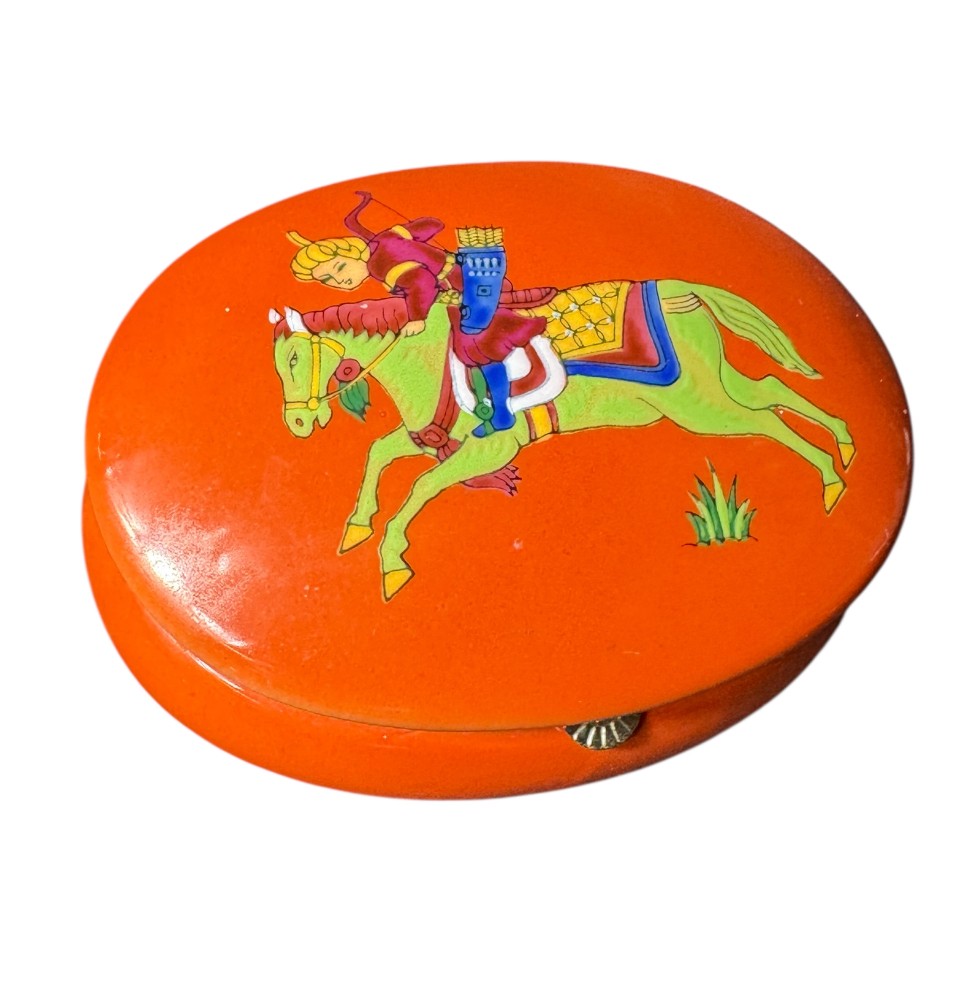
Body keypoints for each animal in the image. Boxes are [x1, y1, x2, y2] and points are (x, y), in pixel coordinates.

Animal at [270, 279, 854, 600]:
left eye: (297, 359)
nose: (296, 424)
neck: (429, 355)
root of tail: (677, 289)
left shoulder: (487, 448)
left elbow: (418, 490)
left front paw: (392, 563)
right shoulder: (430, 438)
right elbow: (379, 454)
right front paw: (356, 527)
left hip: (698, 408)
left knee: (768, 421)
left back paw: (831, 481)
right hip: (709, 388)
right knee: (772, 390)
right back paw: (845, 449)